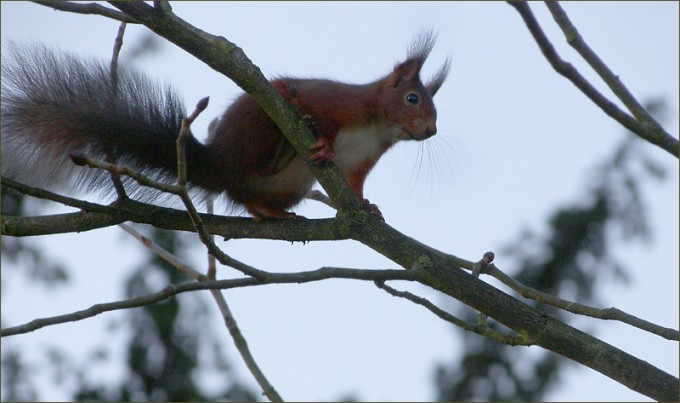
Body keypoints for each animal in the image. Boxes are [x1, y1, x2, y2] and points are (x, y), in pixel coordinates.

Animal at [1, 32, 450, 219]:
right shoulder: (337, 103)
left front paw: (366, 207)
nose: (430, 131)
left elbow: (354, 186)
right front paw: (320, 140)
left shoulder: (362, 161)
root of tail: (219, 163)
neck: (377, 126)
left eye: (435, 109)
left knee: (247, 198)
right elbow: (315, 110)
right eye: (412, 99)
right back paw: (282, 149)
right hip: (257, 126)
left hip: (287, 186)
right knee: (263, 154)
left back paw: (272, 211)